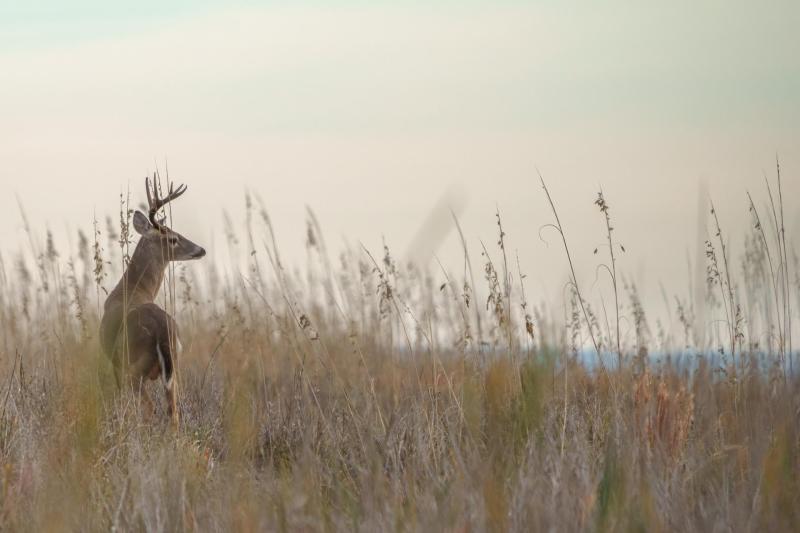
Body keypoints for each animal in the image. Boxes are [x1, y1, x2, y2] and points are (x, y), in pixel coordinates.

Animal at [99, 177, 206, 426]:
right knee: (173, 412)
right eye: (173, 238)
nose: (201, 250)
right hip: (173, 368)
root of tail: (161, 332)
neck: (132, 288)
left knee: (148, 409)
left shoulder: (115, 364)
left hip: (134, 367)